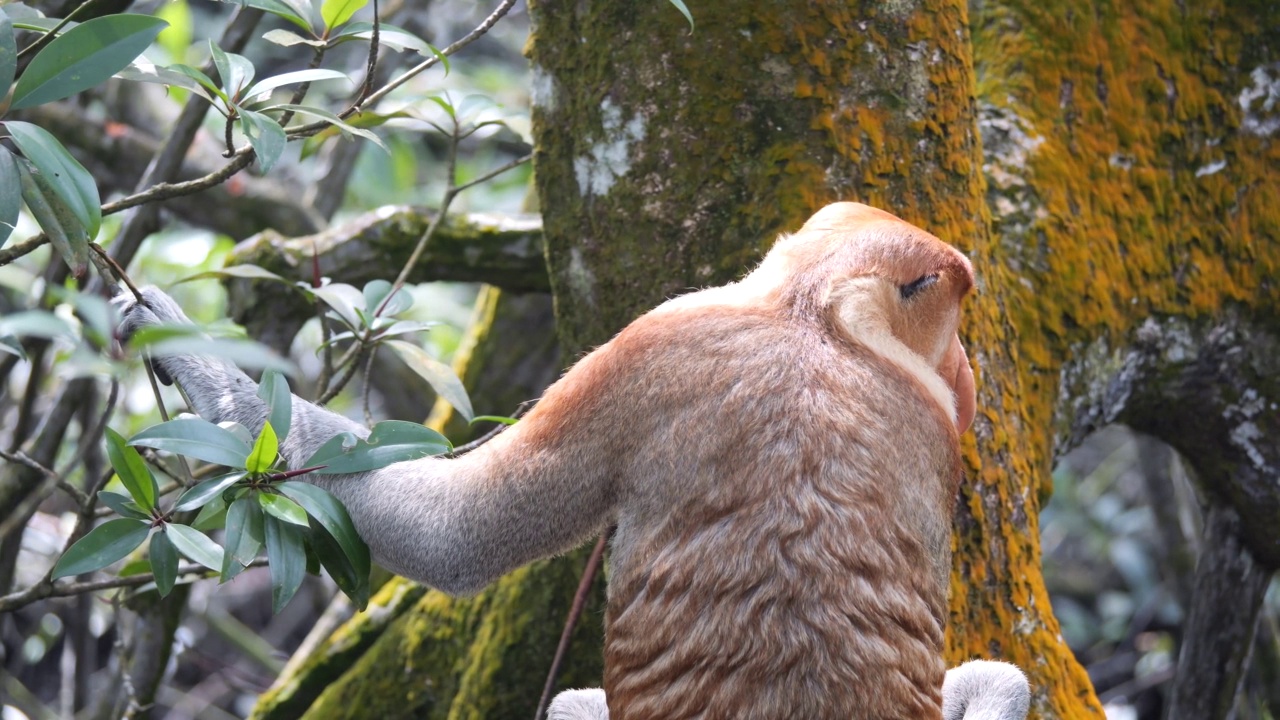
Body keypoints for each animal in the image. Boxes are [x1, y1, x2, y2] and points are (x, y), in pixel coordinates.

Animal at [120, 202, 1029, 717]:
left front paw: (181, 347)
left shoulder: (647, 346)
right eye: (952, 314)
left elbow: (456, 535)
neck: (816, 320)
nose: (966, 377)